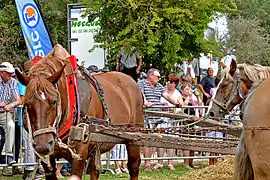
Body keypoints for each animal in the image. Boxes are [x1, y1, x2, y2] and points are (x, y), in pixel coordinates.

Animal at [15, 44, 144, 180]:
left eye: (54, 101)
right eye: (27, 104)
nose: (42, 145)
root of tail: (132, 81)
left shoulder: (79, 155)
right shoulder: (48, 159)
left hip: (134, 137)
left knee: (134, 165)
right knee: (94, 170)